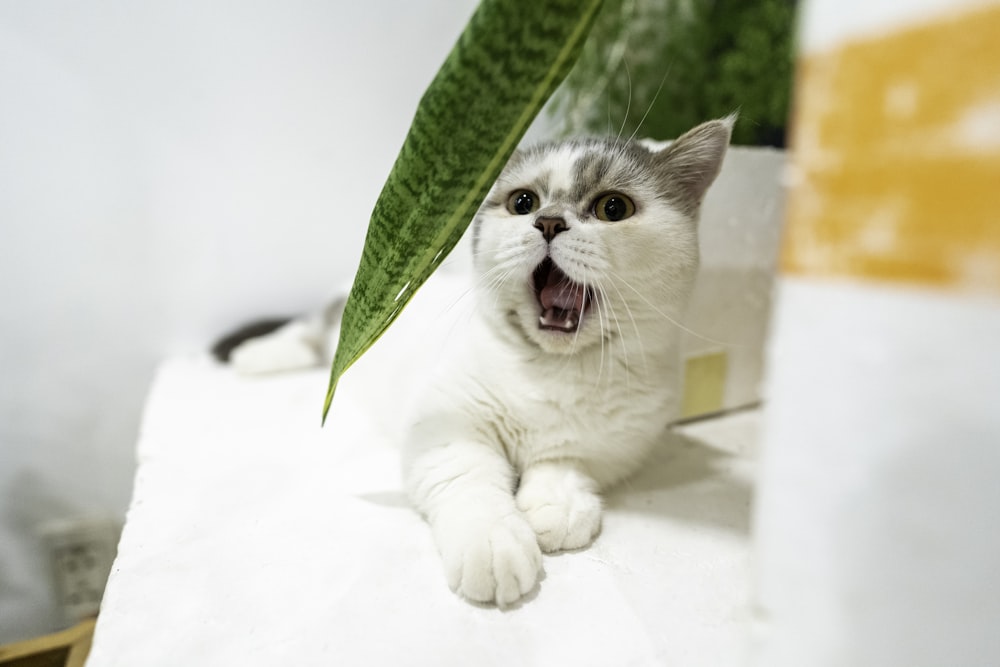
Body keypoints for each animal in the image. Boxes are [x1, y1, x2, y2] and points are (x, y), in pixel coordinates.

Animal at [221, 117, 736, 608]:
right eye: (523, 202)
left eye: (613, 208)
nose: (549, 222)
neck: (554, 371)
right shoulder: (446, 426)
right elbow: (469, 479)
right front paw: (493, 543)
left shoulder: (611, 446)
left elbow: (565, 462)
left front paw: (558, 506)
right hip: (348, 326)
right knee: (312, 337)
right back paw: (257, 356)